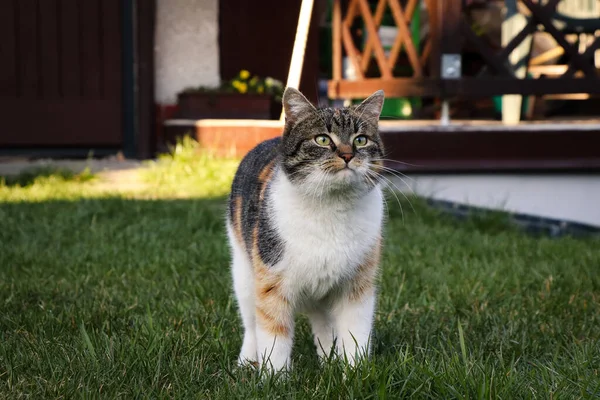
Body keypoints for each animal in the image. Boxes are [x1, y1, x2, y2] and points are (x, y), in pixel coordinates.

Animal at [225, 86, 384, 372]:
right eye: (322, 139)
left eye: (361, 140)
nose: (348, 155)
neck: (332, 209)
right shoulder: (272, 282)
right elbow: (274, 337)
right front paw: (273, 378)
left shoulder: (358, 285)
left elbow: (355, 334)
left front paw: (354, 373)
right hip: (243, 271)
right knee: (251, 326)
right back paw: (245, 362)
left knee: (322, 323)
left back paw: (329, 361)